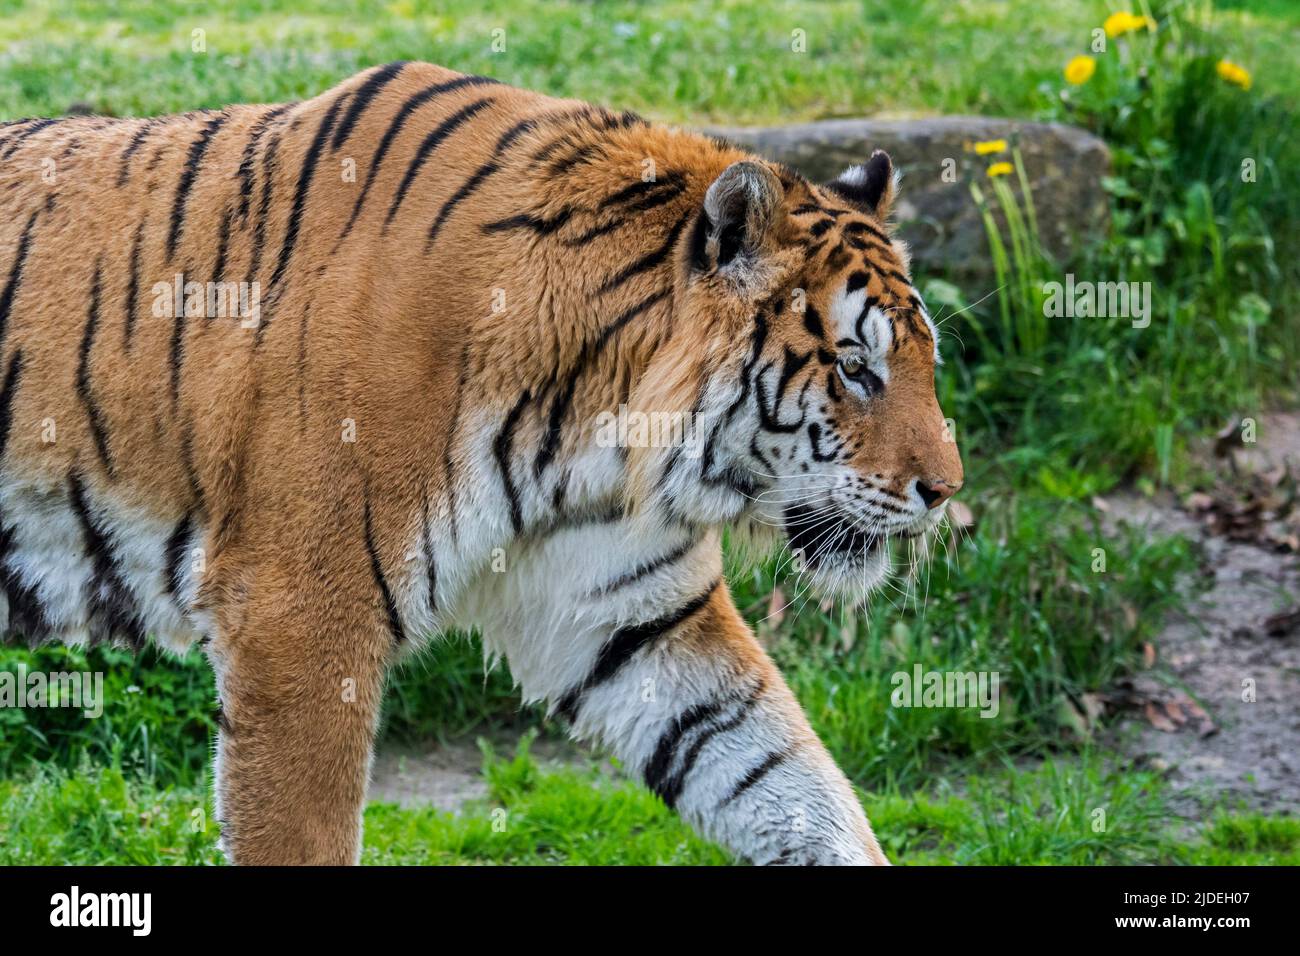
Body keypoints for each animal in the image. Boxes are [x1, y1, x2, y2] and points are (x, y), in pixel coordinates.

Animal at [0, 61, 962, 866]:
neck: (593, 435)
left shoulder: (636, 616)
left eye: (926, 358)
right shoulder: (296, 621)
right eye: (854, 367)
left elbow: (788, 781)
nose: (945, 492)